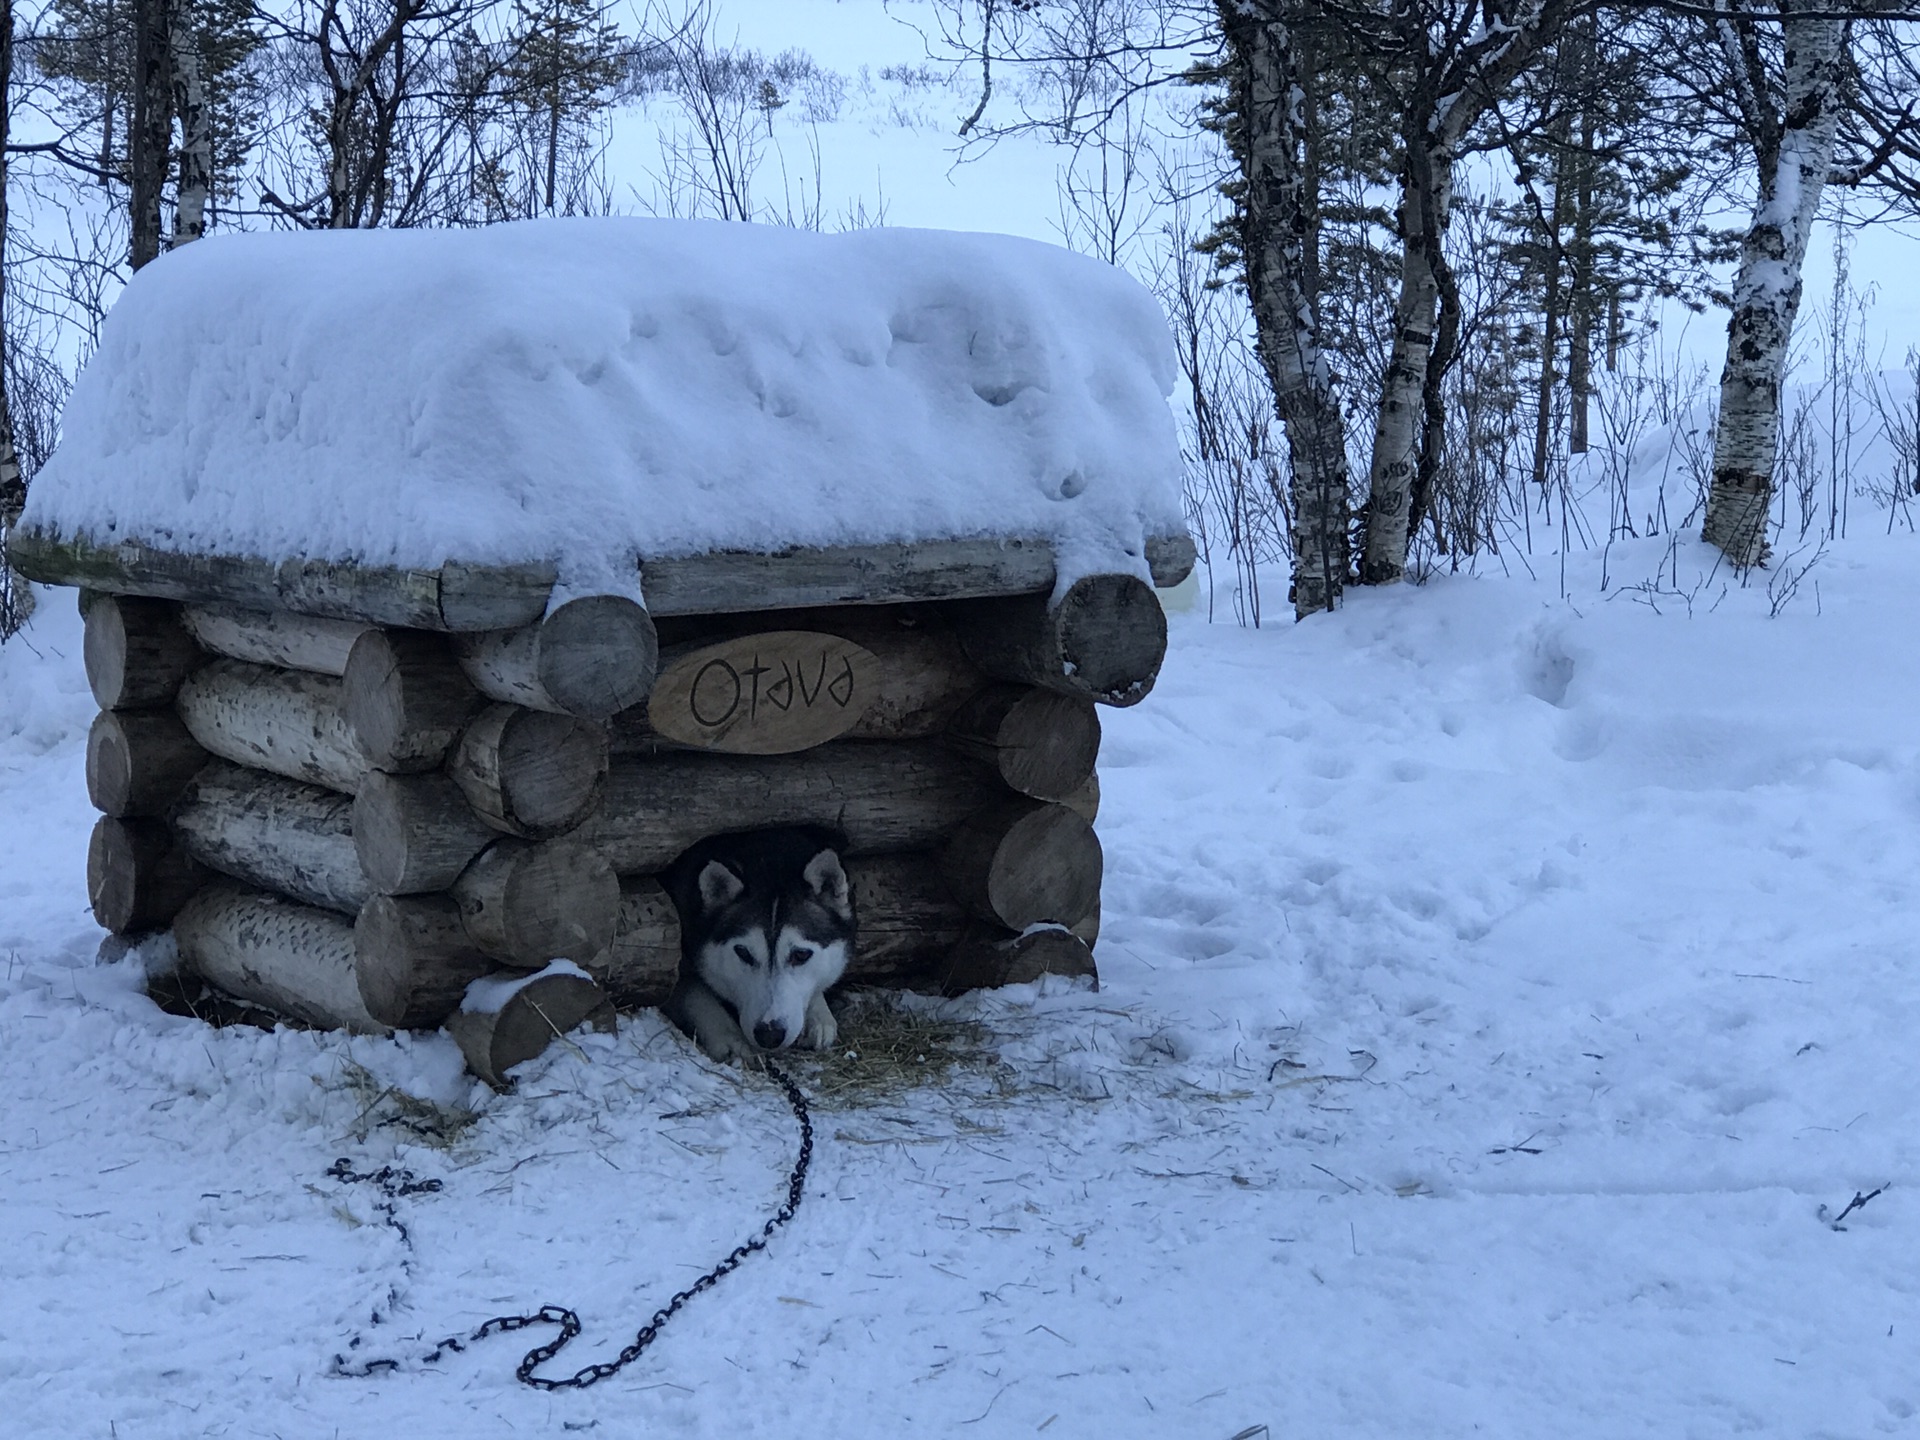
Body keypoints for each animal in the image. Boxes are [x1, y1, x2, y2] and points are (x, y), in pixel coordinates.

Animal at [672, 829, 860, 1067]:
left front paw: (818, 1014)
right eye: (743, 953)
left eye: (801, 955)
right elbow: (695, 992)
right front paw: (729, 1037)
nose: (769, 1035)